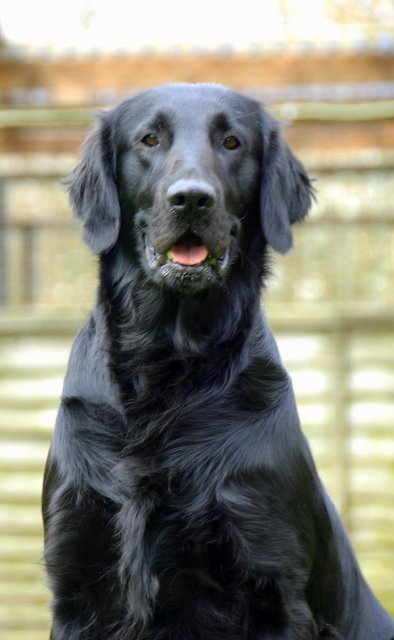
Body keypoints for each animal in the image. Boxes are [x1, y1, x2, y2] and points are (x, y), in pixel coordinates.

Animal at [43, 85, 394, 640]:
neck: (167, 365)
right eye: (149, 139)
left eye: (232, 142)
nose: (191, 198)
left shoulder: (272, 583)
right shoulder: (77, 578)